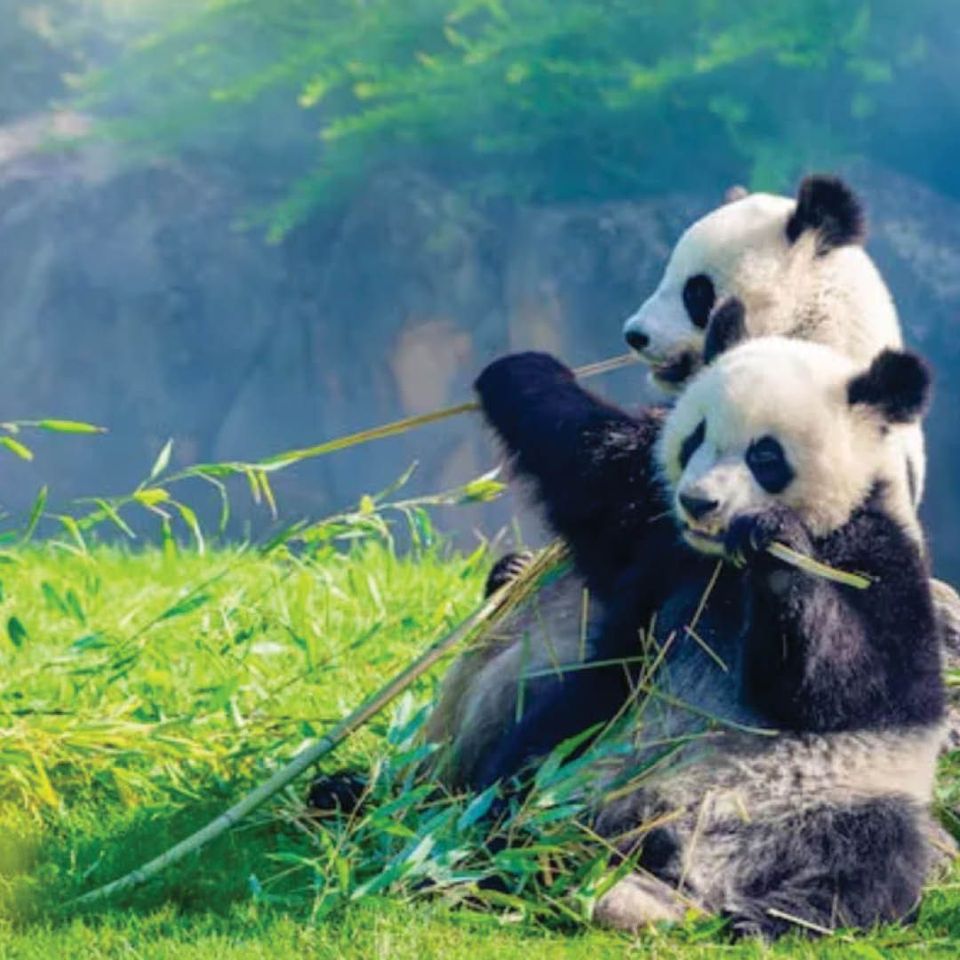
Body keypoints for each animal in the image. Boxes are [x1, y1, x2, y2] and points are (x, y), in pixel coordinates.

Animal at [456, 342, 944, 937]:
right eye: (694, 438)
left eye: (766, 456)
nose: (698, 503)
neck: (722, 566)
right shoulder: (659, 533)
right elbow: (592, 464)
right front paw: (520, 370)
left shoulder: (880, 559)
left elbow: (852, 686)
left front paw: (775, 546)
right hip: (594, 744)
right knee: (522, 780)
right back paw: (501, 854)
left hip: (842, 795)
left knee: (874, 860)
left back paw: (767, 917)